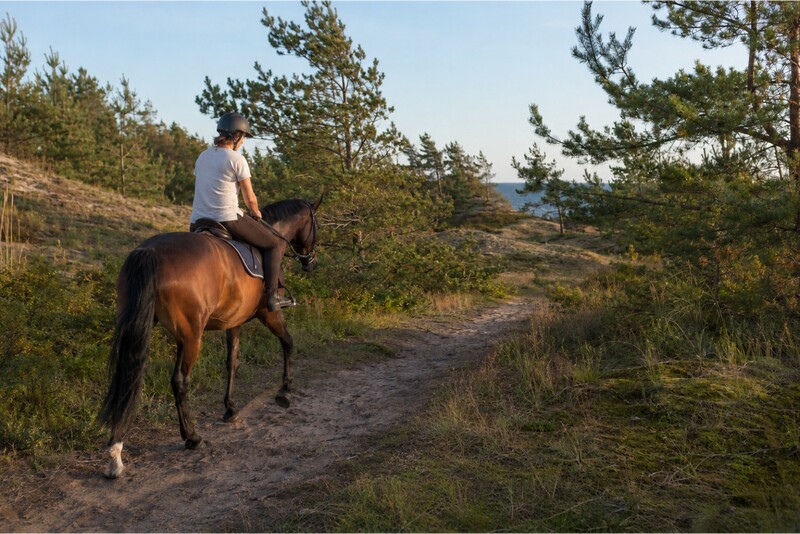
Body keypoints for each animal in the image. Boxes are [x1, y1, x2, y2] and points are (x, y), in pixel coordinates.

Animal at [98, 196, 321, 479]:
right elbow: (288, 342)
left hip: (153, 329)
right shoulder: (268, 313)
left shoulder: (233, 321)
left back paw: (116, 454)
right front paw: (285, 391)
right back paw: (192, 437)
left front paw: (230, 409)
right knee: (180, 381)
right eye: (316, 225)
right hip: (192, 335)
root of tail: (150, 252)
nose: (311, 262)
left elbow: (232, 362)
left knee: (129, 376)